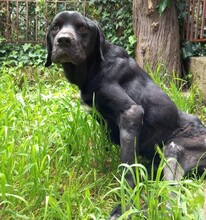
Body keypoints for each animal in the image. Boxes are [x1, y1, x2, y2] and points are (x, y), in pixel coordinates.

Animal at [45, 10, 206, 218]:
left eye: (82, 28)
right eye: (55, 27)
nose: (63, 40)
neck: (95, 66)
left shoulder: (131, 113)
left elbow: (127, 169)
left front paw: (124, 206)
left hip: (173, 149)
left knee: (172, 200)